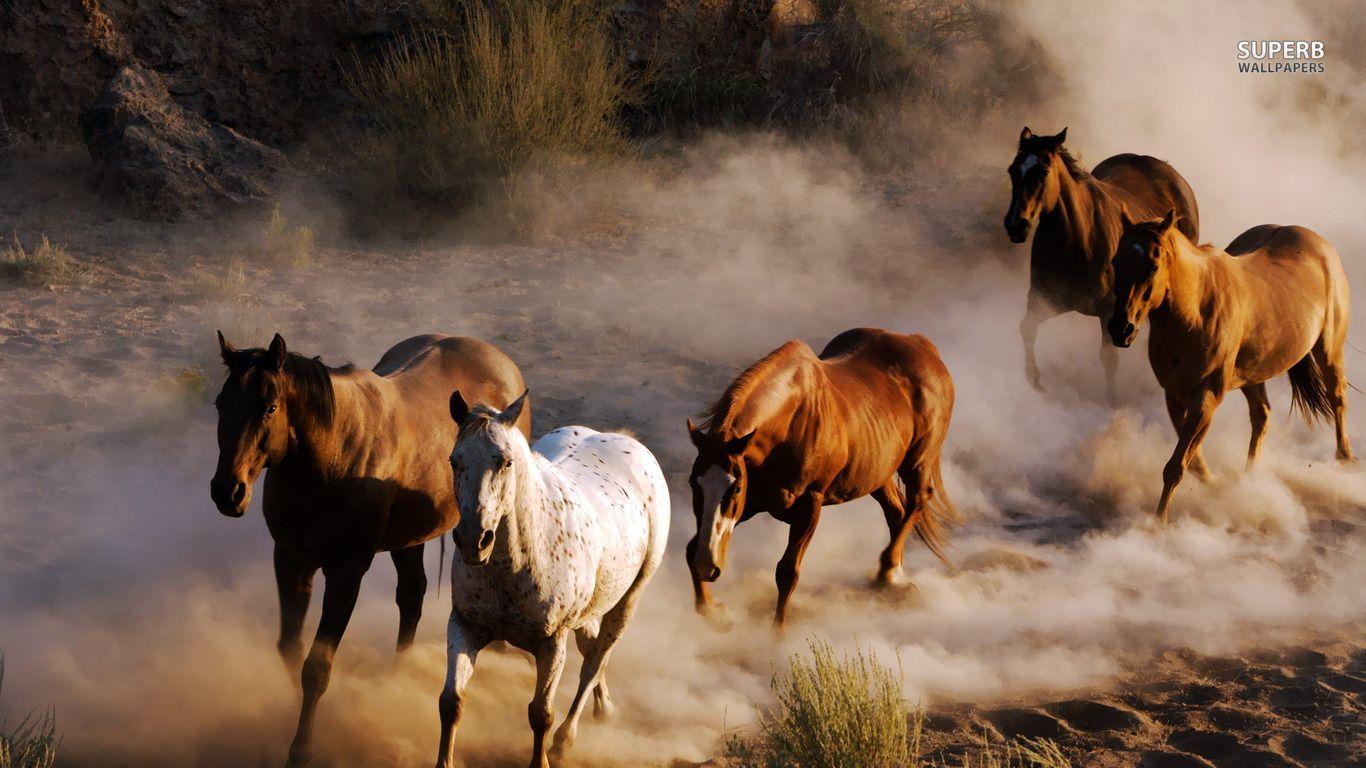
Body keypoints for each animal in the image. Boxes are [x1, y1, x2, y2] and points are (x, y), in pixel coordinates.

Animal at [209, 332, 529, 768]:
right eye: (220, 404)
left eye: (270, 407)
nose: (228, 492)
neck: (330, 455)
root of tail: (499, 360)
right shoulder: (291, 561)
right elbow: (290, 649)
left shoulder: (346, 573)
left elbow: (317, 667)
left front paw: (301, 749)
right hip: (409, 539)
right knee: (411, 596)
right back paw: (398, 675)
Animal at [436, 391, 669, 768]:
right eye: (455, 461)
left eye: (505, 462)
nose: (473, 540)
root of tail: (625, 440)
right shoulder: (464, 626)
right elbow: (451, 702)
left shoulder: (552, 643)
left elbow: (540, 713)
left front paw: (543, 757)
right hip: (591, 608)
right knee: (591, 648)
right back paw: (604, 707)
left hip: (630, 598)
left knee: (595, 660)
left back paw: (565, 739)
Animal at [686, 327, 956, 627]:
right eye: (693, 484)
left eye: (734, 488)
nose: (707, 566)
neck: (789, 423)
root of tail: (922, 345)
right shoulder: (753, 504)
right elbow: (690, 548)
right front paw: (715, 612)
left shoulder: (809, 504)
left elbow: (787, 572)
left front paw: (777, 633)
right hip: (878, 472)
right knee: (896, 511)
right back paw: (892, 577)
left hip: (917, 460)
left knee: (917, 501)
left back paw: (888, 572)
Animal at [1004, 126, 1201, 402]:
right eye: (1013, 170)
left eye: (1043, 171)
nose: (1016, 225)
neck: (1076, 239)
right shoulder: (1043, 299)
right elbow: (1027, 328)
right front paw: (1034, 382)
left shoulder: (1111, 312)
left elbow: (1109, 357)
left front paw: (1111, 400)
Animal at [1108, 209, 1353, 521]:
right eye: (1116, 261)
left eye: (1152, 266)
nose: (1121, 329)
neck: (1195, 311)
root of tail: (1320, 244)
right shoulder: (1174, 395)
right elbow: (1191, 462)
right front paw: (1213, 484)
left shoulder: (1206, 397)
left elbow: (1176, 466)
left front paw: (1159, 522)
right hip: (1253, 374)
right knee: (1262, 415)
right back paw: (1249, 480)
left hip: (1329, 350)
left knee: (1337, 398)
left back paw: (1344, 460)